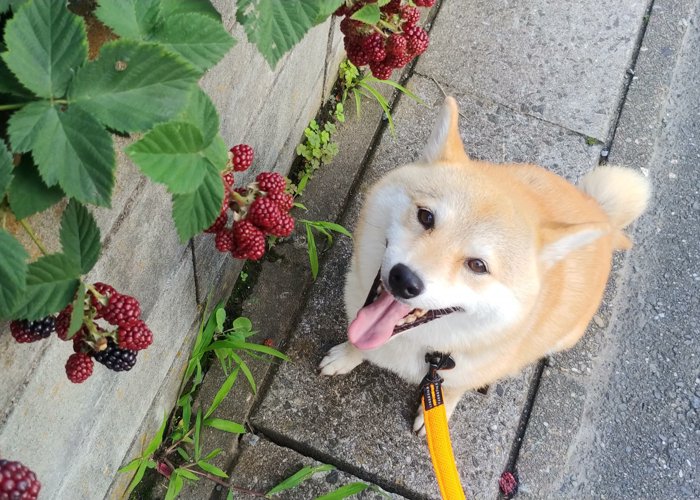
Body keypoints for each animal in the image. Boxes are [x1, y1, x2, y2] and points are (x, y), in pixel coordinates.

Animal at [320, 95, 648, 432]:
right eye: (425, 217)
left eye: (478, 265)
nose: (405, 280)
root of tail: (598, 210)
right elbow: (359, 345)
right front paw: (346, 356)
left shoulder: (467, 372)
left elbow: (454, 389)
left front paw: (437, 413)